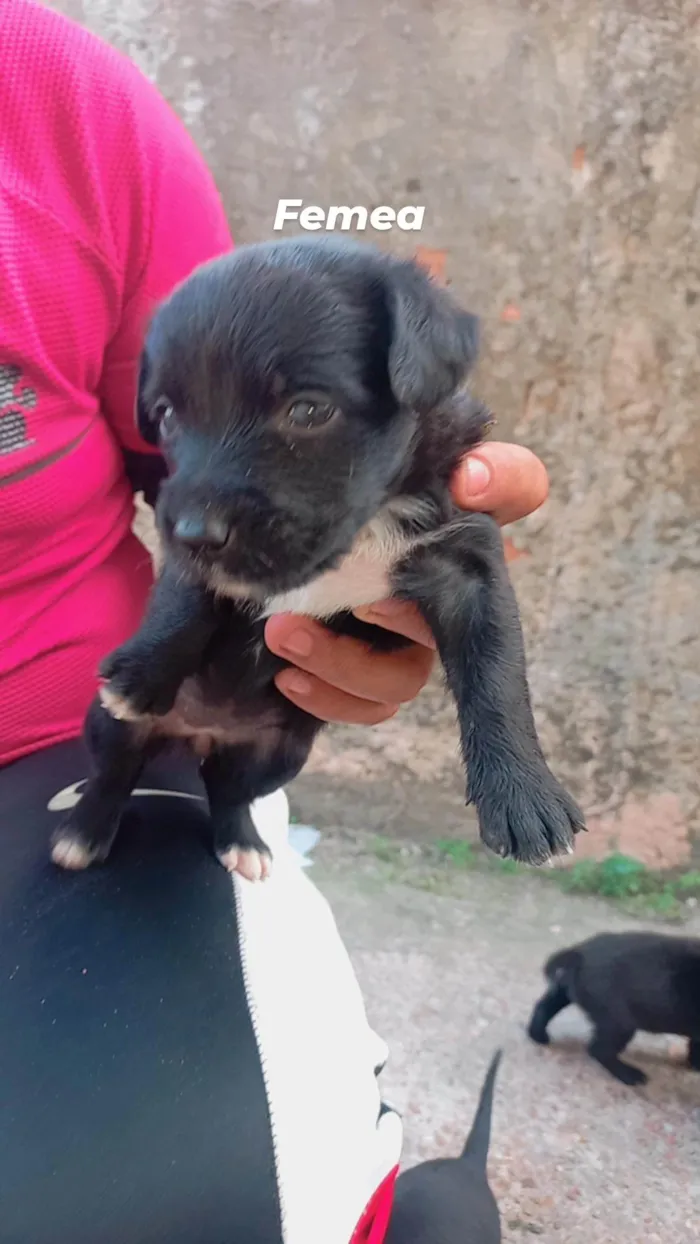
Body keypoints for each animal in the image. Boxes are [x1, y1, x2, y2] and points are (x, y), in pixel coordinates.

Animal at [50, 233, 586, 875]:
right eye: (166, 415)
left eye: (308, 410)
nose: (194, 530)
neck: (362, 527)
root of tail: (200, 733)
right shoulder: (187, 541)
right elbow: (183, 601)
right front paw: (140, 670)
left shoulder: (466, 562)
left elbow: (497, 674)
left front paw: (524, 794)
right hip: (113, 728)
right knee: (116, 772)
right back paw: (83, 834)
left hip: (278, 753)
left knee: (227, 786)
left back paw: (243, 841)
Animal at [529, 930, 700, 1084]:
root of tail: (579, 953)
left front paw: (695, 1064)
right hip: (620, 1024)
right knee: (599, 1050)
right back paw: (629, 1075)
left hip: (564, 992)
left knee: (543, 1007)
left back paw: (537, 1035)